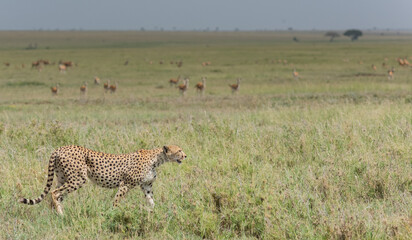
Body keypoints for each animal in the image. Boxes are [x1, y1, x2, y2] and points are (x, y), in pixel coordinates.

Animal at [18, 144, 187, 216]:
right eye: (179, 150)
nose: (185, 155)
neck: (157, 159)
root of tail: (59, 148)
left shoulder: (146, 186)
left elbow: (152, 202)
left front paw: (156, 213)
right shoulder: (125, 184)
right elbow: (117, 200)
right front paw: (114, 213)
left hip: (63, 178)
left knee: (55, 196)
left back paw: (56, 215)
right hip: (78, 179)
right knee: (54, 193)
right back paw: (61, 215)